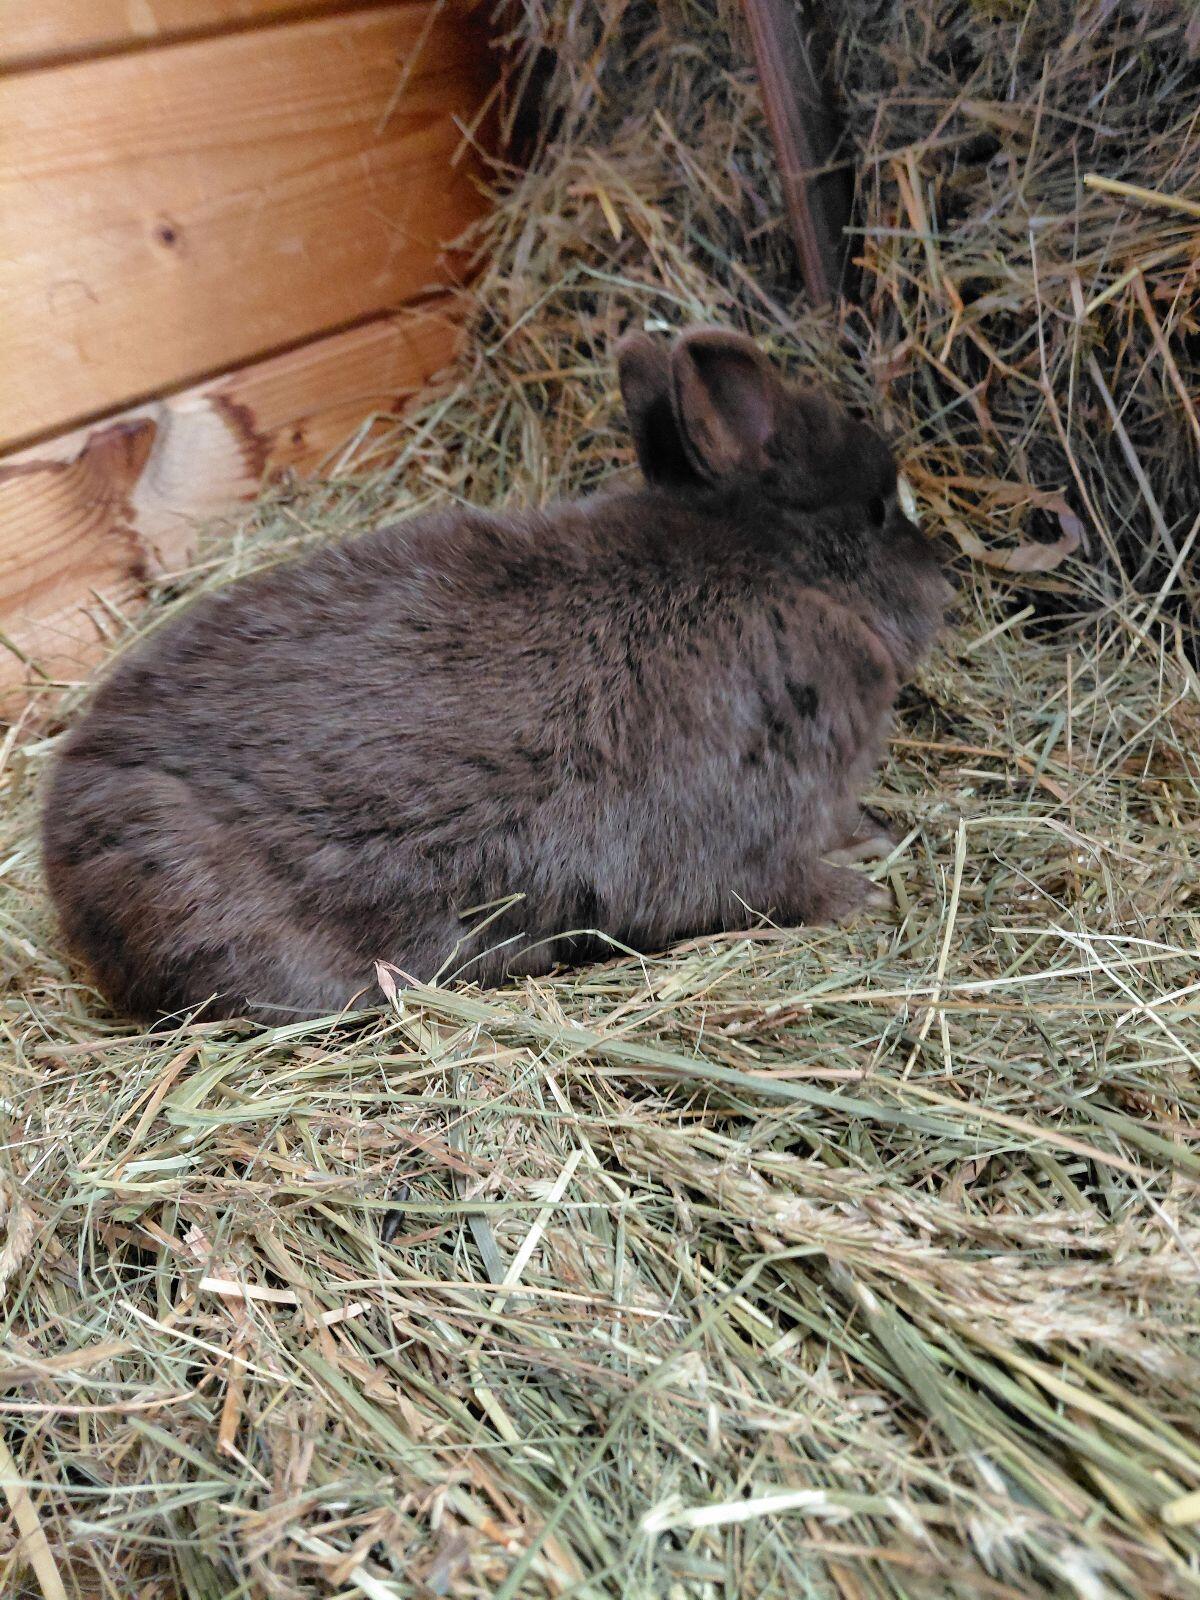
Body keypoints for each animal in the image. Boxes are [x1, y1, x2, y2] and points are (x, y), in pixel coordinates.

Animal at [41, 327, 951, 1024]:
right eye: (880, 511)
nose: (945, 576)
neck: (782, 579)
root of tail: (66, 866)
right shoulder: (751, 821)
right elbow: (779, 887)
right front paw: (862, 898)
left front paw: (875, 835)